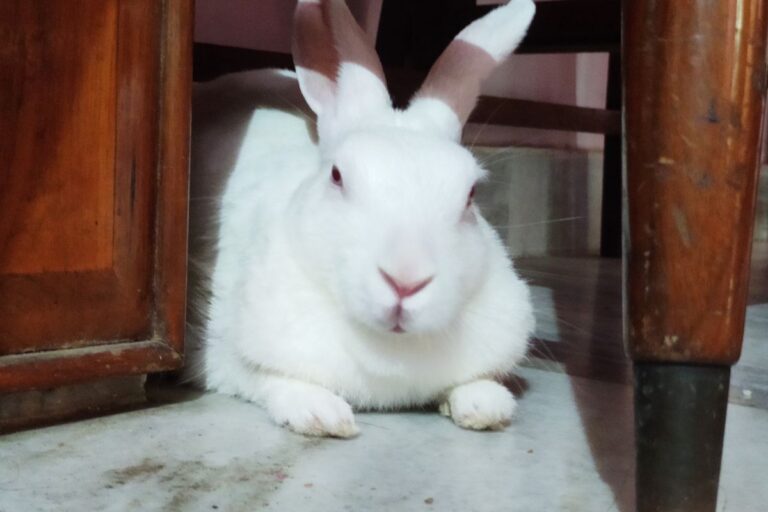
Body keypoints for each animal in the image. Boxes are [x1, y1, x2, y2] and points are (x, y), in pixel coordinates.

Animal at [187, 0, 537, 438]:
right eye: (337, 176)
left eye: (471, 195)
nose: (406, 280)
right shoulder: (220, 351)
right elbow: (269, 377)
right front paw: (322, 415)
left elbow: (473, 381)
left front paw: (486, 406)